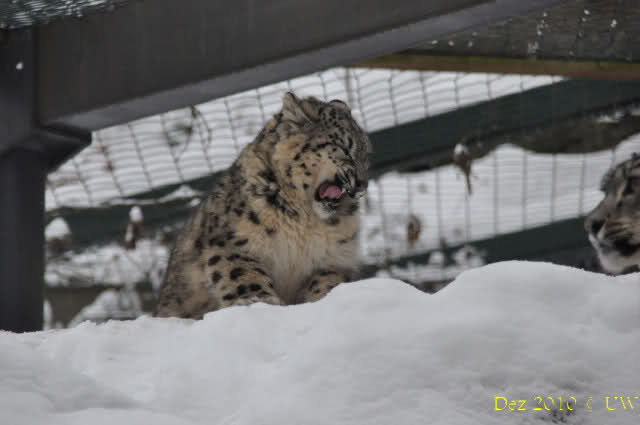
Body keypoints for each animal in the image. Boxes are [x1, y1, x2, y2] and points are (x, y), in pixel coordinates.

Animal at [155, 92, 371, 318]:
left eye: (367, 155)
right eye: (345, 148)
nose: (362, 185)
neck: (307, 220)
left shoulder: (334, 258)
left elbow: (326, 282)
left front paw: (325, 300)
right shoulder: (231, 241)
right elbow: (242, 274)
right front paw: (258, 301)